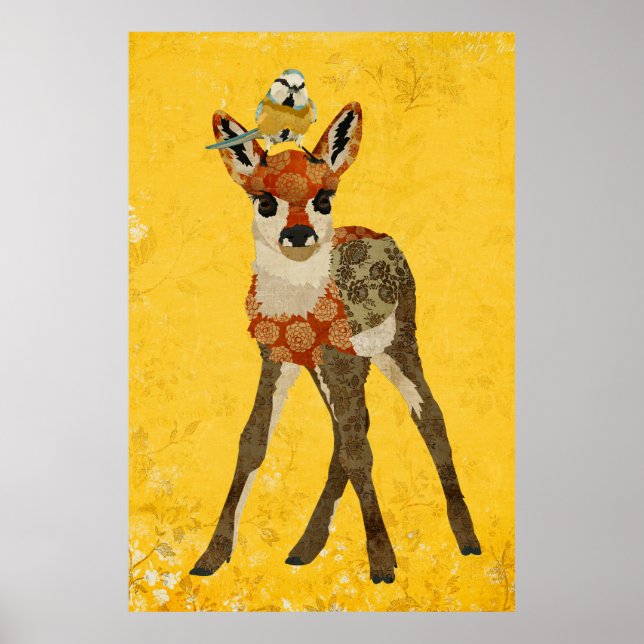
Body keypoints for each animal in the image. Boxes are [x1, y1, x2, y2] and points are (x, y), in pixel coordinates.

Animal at [190, 102, 480, 584]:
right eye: (264, 200)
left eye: (323, 197)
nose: (298, 234)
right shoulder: (278, 358)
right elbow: (253, 441)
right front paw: (210, 556)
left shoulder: (339, 359)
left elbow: (359, 450)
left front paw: (382, 562)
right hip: (334, 365)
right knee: (352, 428)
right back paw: (304, 548)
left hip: (397, 342)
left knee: (428, 416)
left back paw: (468, 538)